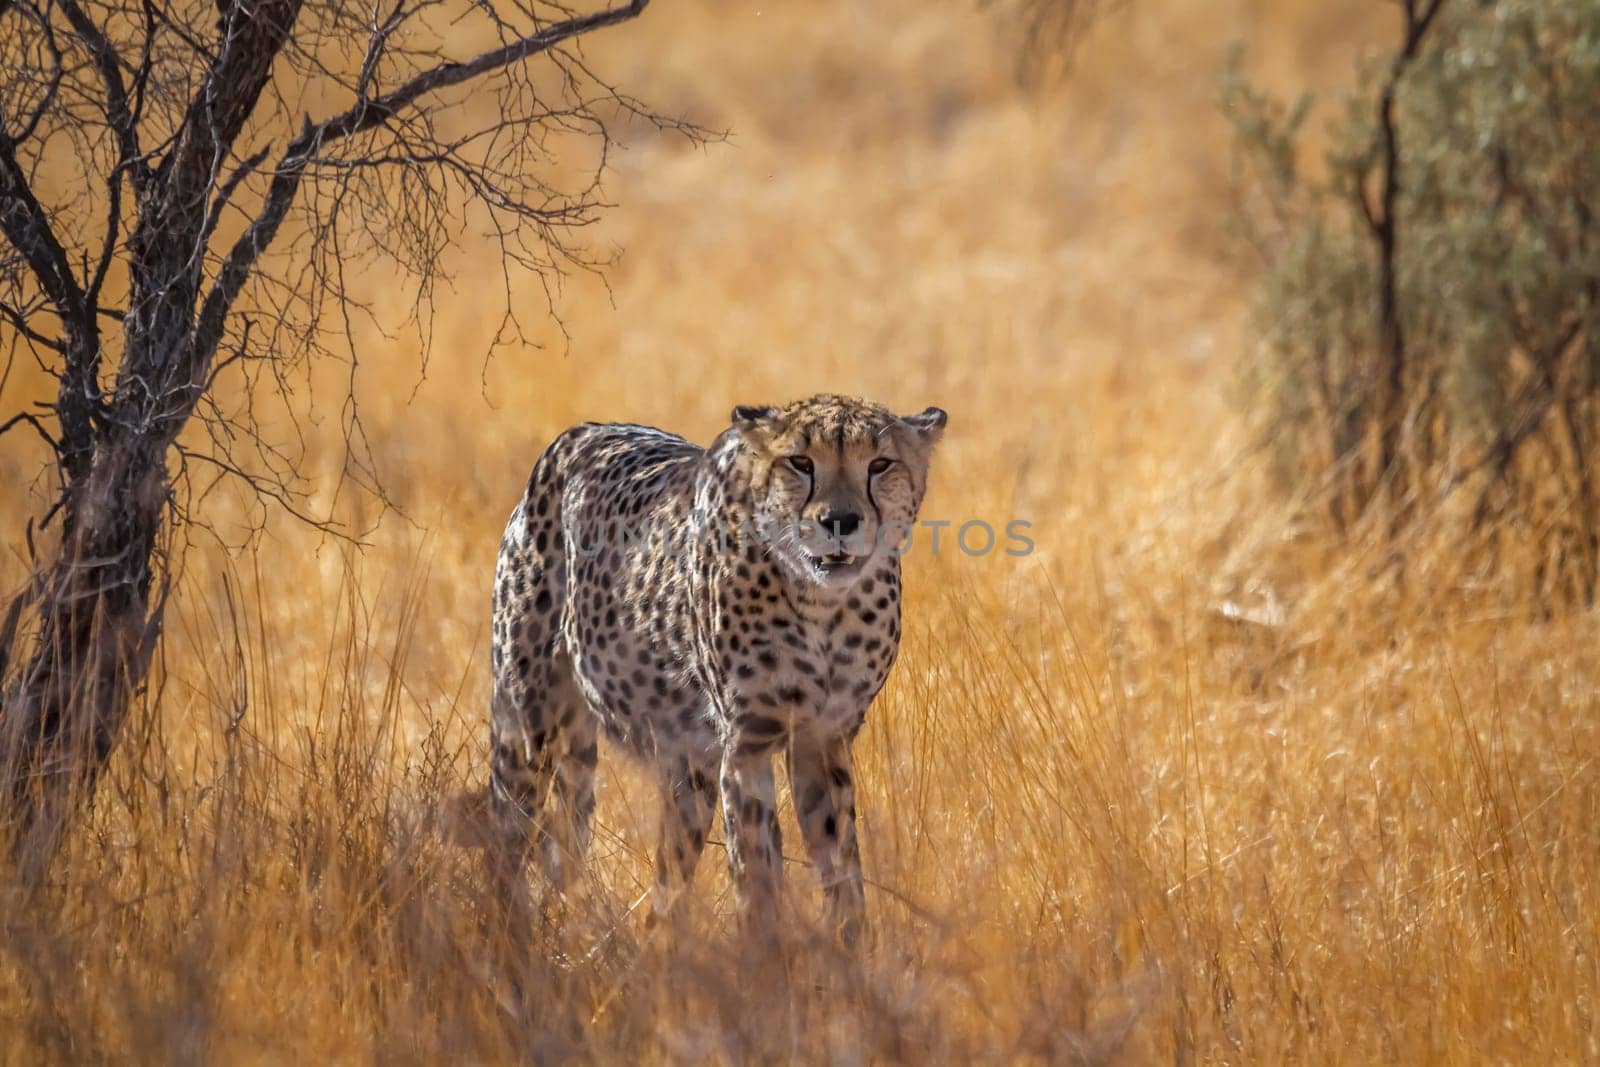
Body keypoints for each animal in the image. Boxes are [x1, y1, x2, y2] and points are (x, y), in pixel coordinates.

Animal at [492, 395, 940, 940]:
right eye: (801, 462)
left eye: (879, 465)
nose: (840, 521)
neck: (821, 606)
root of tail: (583, 431)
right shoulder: (746, 744)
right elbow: (756, 872)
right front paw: (764, 954)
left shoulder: (823, 739)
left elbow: (842, 866)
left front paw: (850, 949)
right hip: (528, 728)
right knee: (509, 844)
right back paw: (507, 936)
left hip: (685, 770)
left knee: (660, 879)